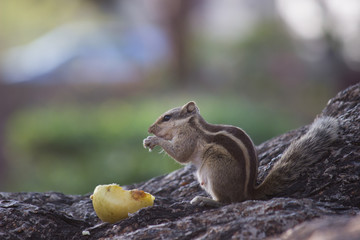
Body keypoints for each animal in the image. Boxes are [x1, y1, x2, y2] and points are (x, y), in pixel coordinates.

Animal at [143, 101, 338, 206]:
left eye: (166, 117)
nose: (149, 128)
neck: (191, 125)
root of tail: (248, 194)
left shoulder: (188, 139)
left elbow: (181, 155)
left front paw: (153, 140)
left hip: (215, 167)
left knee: (227, 202)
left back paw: (204, 200)